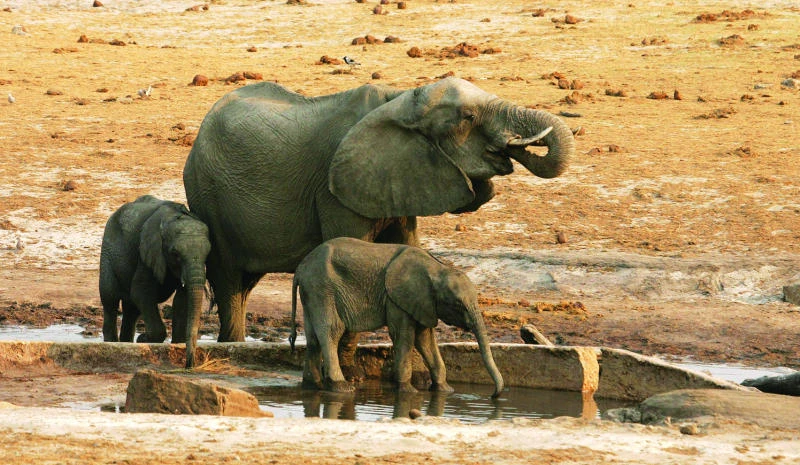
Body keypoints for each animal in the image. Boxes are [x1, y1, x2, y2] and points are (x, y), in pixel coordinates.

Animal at [99, 195, 211, 368]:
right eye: (175, 254)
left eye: (208, 253)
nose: (189, 365)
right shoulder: (148, 252)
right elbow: (141, 292)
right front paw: (143, 340)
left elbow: (183, 299)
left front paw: (177, 343)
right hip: (108, 252)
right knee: (110, 300)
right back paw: (113, 343)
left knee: (132, 310)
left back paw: (126, 343)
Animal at [183, 76, 574, 369]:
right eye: (467, 117)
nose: (514, 148)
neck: (400, 99)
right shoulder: (334, 189)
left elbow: (409, 245)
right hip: (207, 193)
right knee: (229, 280)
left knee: (243, 285)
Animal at [289, 237, 504, 398]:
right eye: (458, 304)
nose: (494, 395)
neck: (436, 268)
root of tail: (300, 268)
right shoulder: (396, 299)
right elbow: (404, 336)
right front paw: (408, 391)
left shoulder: (423, 302)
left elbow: (424, 339)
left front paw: (446, 391)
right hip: (322, 288)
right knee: (332, 331)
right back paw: (341, 388)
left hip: (312, 292)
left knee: (313, 338)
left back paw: (312, 385)